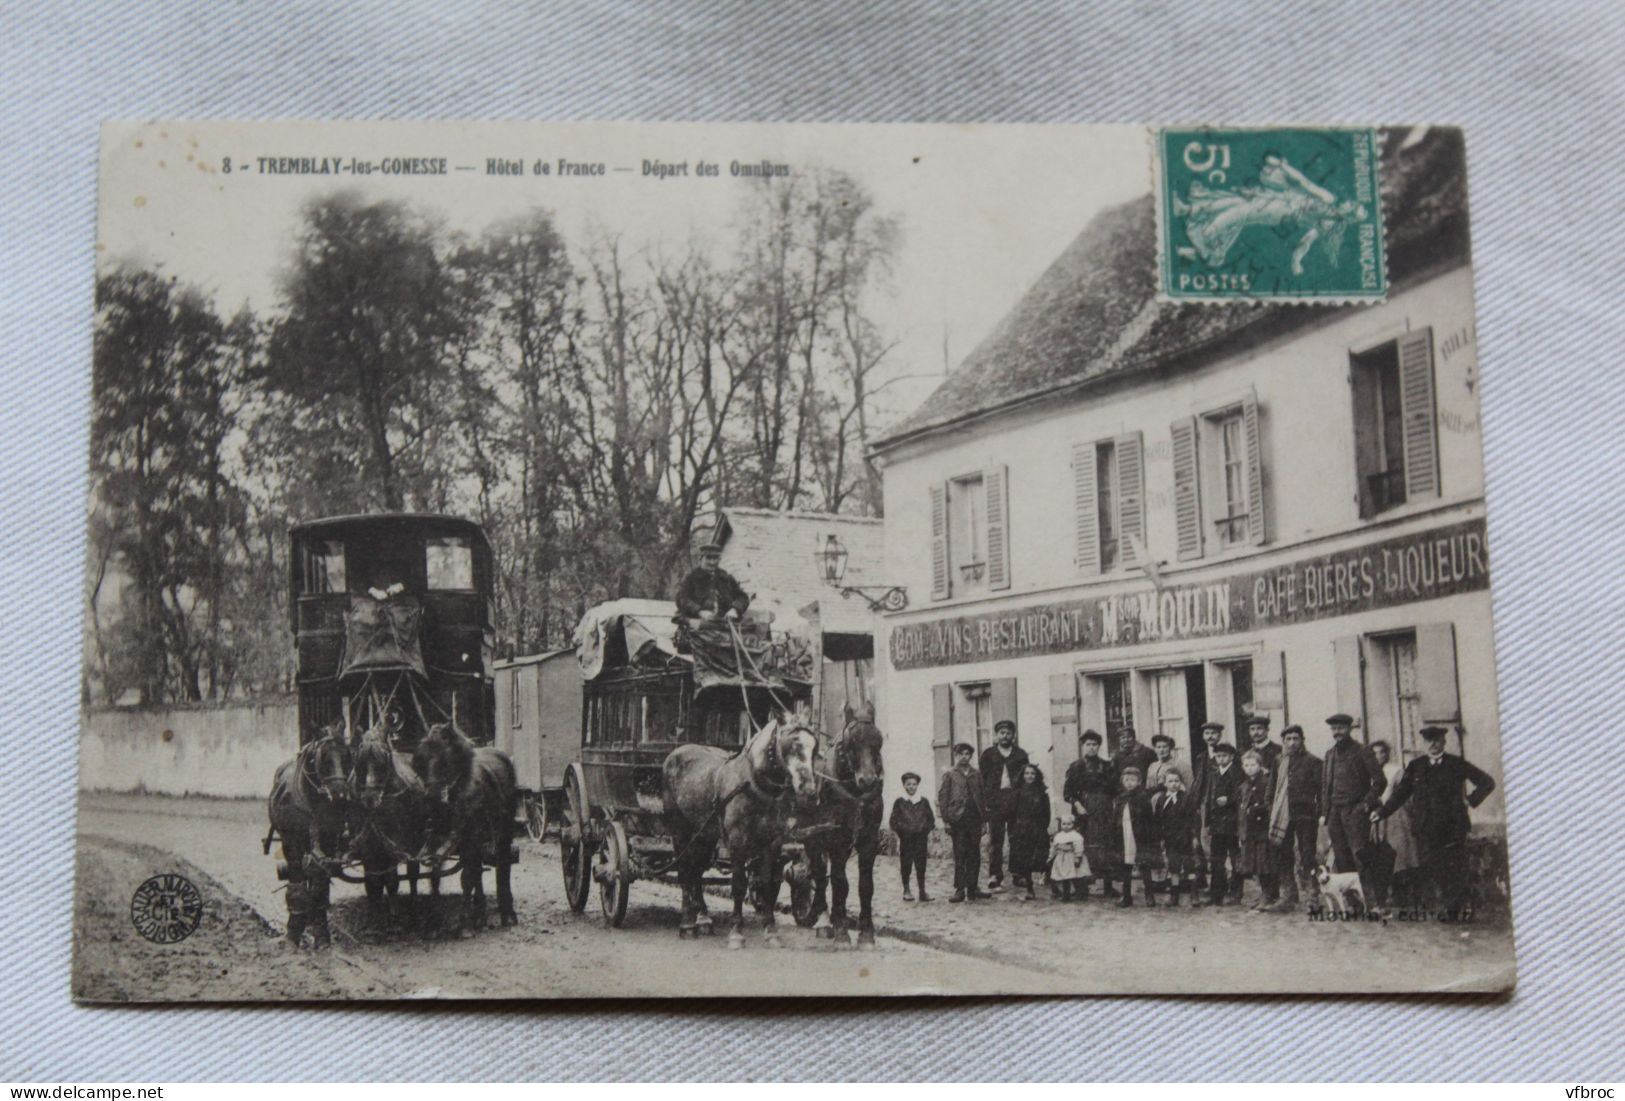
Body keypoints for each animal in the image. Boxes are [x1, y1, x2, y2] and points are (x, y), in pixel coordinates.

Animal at [266, 724, 352, 948]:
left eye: (347, 755)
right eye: (323, 758)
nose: (340, 795)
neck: (311, 800)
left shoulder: (329, 841)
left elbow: (320, 882)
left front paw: (321, 934)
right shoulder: (292, 842)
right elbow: (297, 882)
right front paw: (293, 932)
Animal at [347, 724, 429, 922]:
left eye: (382, 760)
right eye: (359, 761)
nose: (370, 798)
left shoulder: (394, 841)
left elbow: (392, 879)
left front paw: (394, 911)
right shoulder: (367, 844)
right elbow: (372, 881)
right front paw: (374, 908)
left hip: (414, 841)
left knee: (412, 871)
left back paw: (413, 900)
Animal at [412, 727, 520, 935]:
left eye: (445, 760)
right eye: (420, 760)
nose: (430, 801)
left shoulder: (472, 839)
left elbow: (467, 878)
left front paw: (464, 924)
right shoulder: (439, 840)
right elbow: (435, 875)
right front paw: (434, 921)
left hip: (504, 832)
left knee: (503, 866)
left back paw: (507, 912)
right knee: (479, 870)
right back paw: (481, 912)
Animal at [659, 714, 819, 948]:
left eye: (814, 748)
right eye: (792, 745)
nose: (809, 792)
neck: (755, 783)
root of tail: (676, 752)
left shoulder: (771, 844)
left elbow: (766, 884)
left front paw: (770, 930)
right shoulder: (737, 843)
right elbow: (738, 885)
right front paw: (736, 933)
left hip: (704, 835)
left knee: (696, 872)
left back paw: (703, 918)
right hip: (680, 830)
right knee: (685, 871)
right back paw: (687, 923)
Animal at [802, 708, 884, 948]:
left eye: (878, 740)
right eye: (850, 743)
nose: (868, 780)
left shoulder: (869, 840)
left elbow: (866, 885)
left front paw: (866, 932)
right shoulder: (837, 840)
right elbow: (840, 882)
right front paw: (841, 929)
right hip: (812, 837)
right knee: (819, 874)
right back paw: (822, 919)